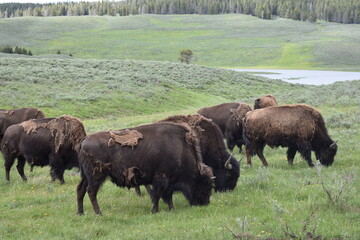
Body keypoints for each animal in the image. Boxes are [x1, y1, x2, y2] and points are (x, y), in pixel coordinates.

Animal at [76, 123, 214, 215]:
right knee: (91, 192)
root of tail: (83, 141)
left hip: (86, 177)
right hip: (96, 176)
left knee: (80, 190)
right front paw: (155, 211)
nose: (205, 203)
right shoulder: (162, 178)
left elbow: (166, 195)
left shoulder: (167, 181)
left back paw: (80, 213)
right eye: (205, 184)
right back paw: (98, 213)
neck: (181, 149)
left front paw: (171, 209)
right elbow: (157, 195)